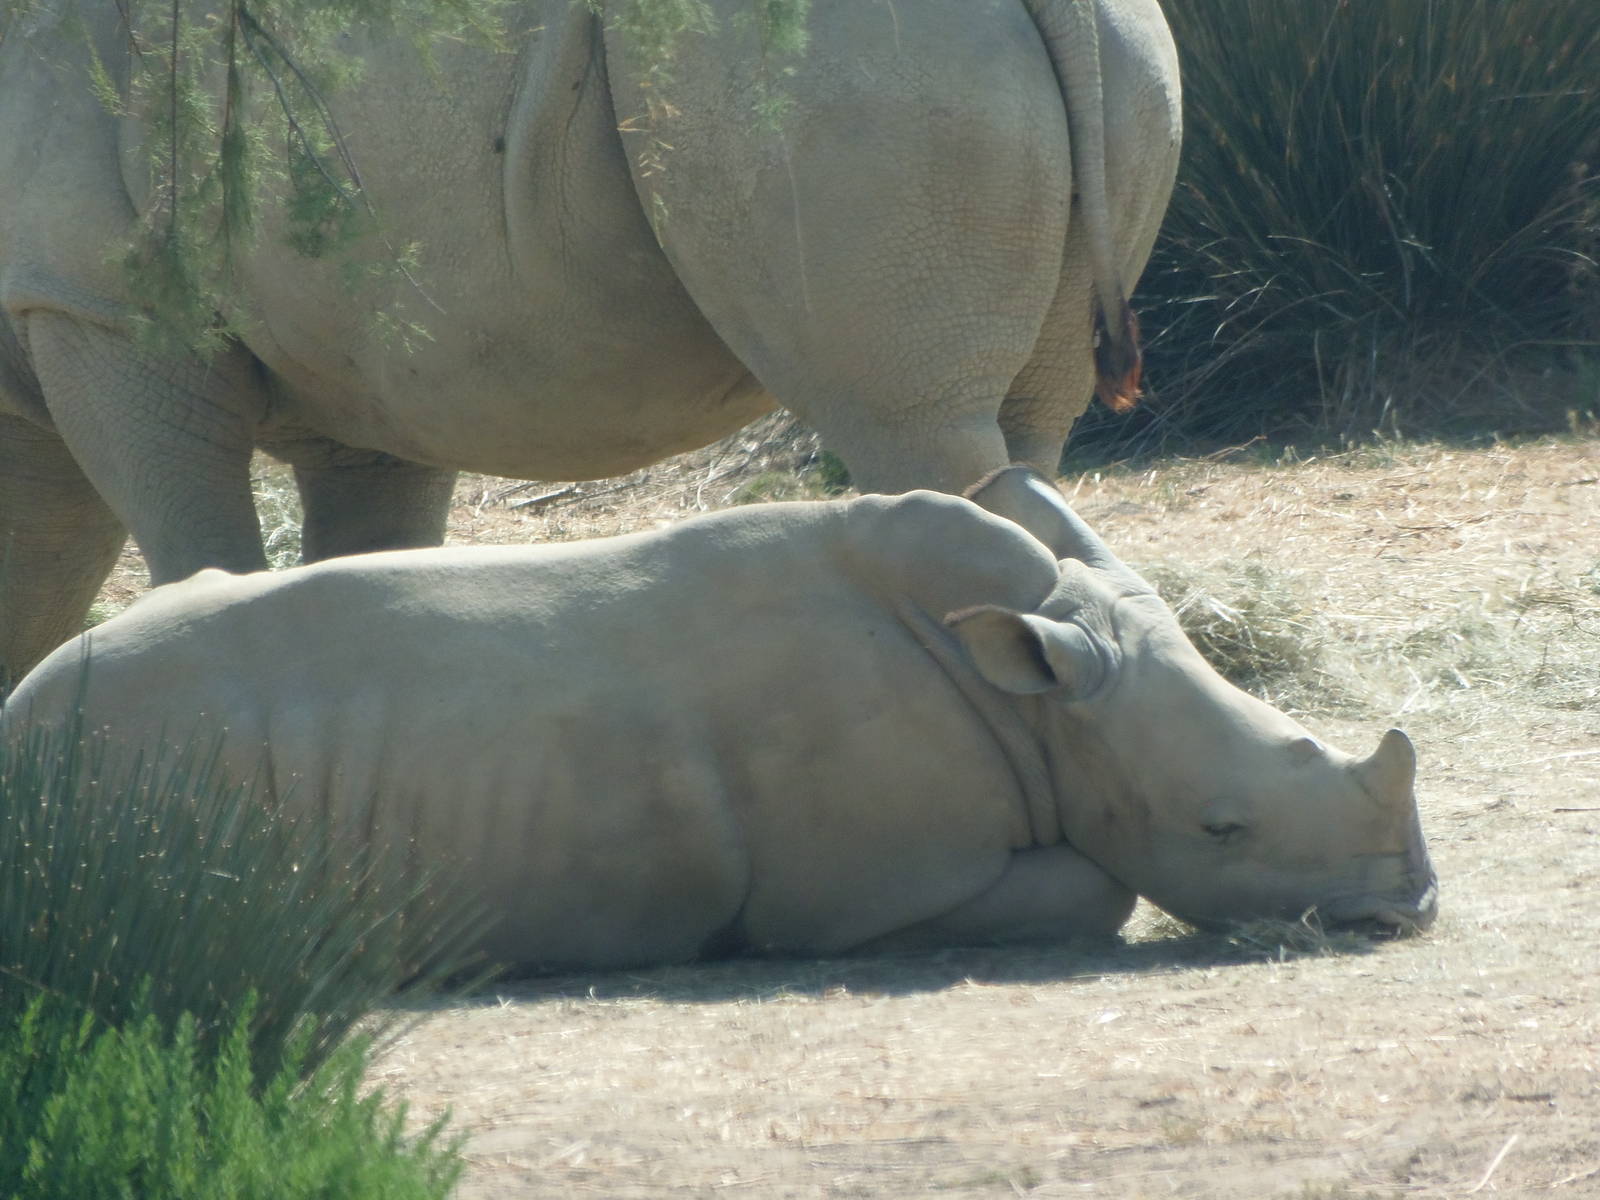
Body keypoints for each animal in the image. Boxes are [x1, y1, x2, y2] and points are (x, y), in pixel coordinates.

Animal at [0, 0, 1182, 687]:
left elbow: (176, 546)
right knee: (1020, 432)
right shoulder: (370, 381)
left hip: (841, 64)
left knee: (908, 432)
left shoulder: (93, 304)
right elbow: (49, 574)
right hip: (1120, 57)